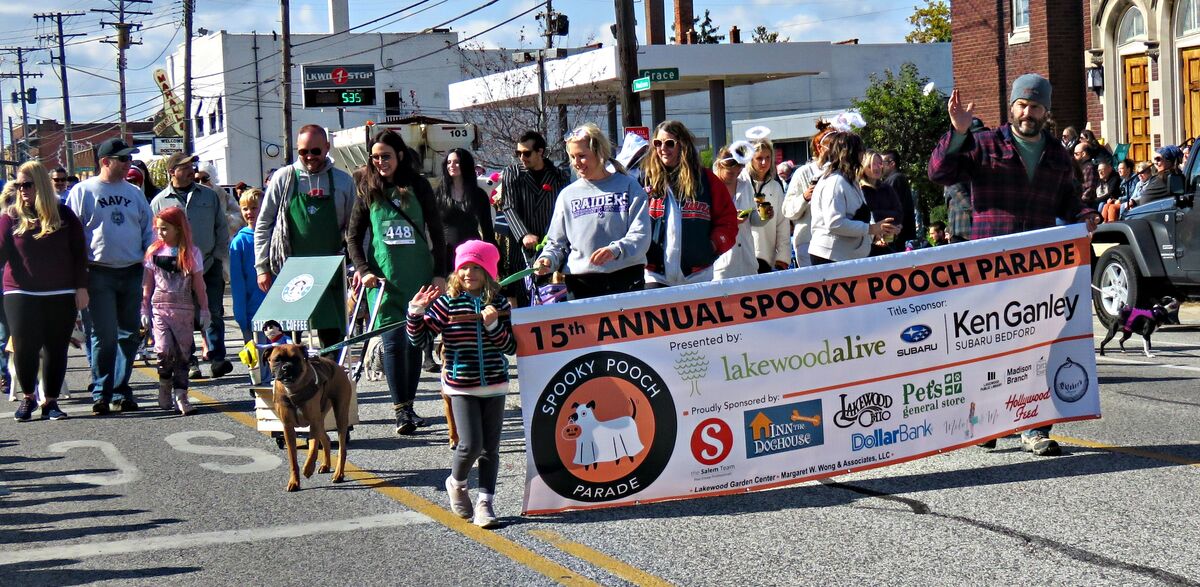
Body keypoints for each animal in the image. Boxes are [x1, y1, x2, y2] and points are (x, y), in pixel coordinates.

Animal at [268, 343, 350, 489]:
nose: (286, 366)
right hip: (321, 418)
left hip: (340, 415)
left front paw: (308, 468)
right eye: (277, 359)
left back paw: (339, 474)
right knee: (326, 439)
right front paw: (294, 481)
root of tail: (337, 366)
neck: (293, 390)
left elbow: (313, 449)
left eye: (295, 359)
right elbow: (293, 458)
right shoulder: (288, 428)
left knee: (342, 448)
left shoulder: (313, 423)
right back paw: (326, 465)